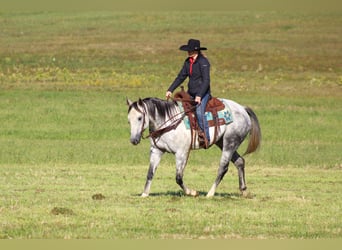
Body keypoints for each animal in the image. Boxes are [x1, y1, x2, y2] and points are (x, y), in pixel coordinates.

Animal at [126, 96, 262, 197]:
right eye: (128, 120)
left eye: (139, 118)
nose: (133, 140)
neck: (168, 122)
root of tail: (243, 109)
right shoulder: (156, 151)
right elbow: (150, 173)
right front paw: (144, 194)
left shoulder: (181, 153)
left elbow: (178, 178)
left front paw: (192, 192)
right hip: (222, 142)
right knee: (240, 161)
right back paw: (243, 190)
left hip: (230, 143)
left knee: (223, 168)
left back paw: (210, 194)